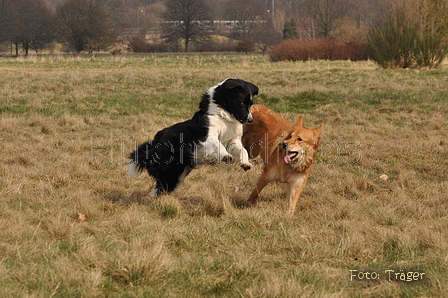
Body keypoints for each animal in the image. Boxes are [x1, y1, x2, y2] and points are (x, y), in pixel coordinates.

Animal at [126, 78, 260, 197]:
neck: (224, 117)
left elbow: (243, 150)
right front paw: (226, 156)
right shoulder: (207, 137)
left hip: (178, 174)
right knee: (160, 183)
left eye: (251, 104)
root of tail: (157, 139)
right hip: (170, 168)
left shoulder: (233, 140)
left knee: (160, 188)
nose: (250, 120)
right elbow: (218, 145)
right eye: (241, 103)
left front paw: (246, 163)